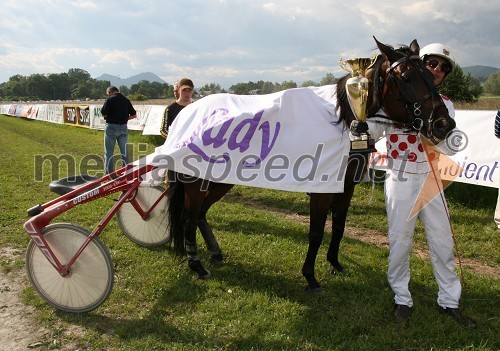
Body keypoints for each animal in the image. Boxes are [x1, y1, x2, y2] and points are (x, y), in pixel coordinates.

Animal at [166, 35, 456, 292]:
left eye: (430, 73)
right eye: (406, 77)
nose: (444, 124)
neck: (347, 121)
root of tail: (187, 111)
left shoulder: (346, 187)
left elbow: (338, 226)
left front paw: (335, 263)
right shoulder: (321, 189)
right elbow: (316, 231)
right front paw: (310, 276)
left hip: (220, 179)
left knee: (200, 213)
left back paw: (214, 253)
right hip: (196, 181)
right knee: (188, 216)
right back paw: (197, 265)